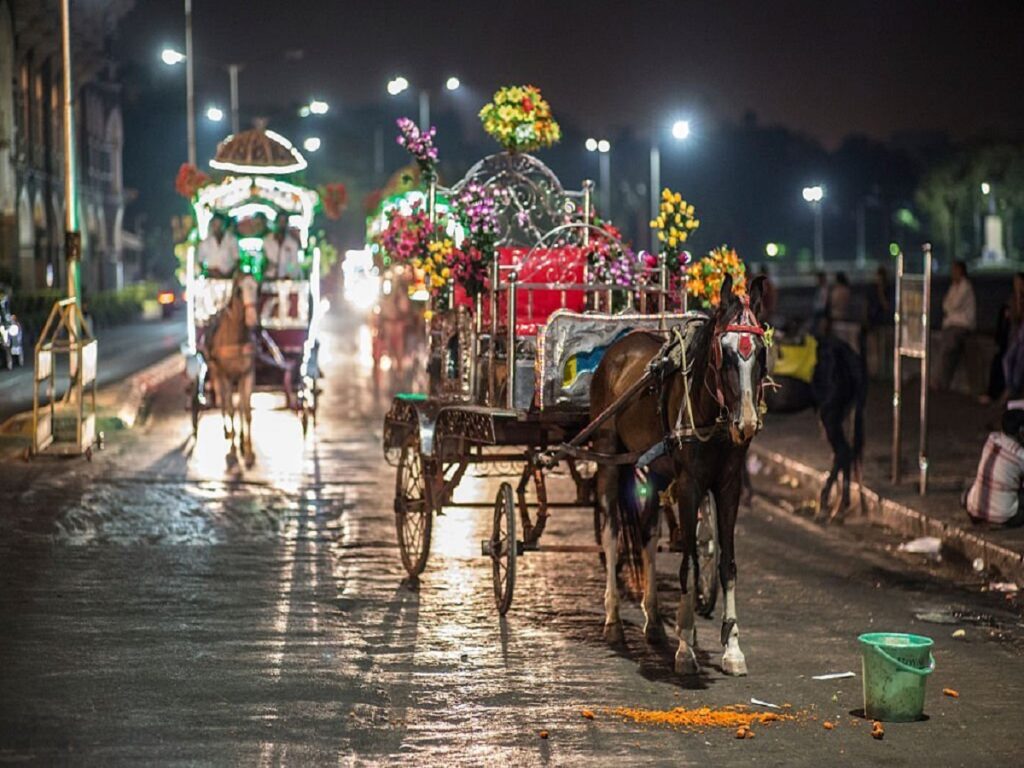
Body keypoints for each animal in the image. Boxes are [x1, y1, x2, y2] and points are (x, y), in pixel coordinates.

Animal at [204, 276, 258, 468]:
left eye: (257, 288)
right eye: (239, 291)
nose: (253, 319)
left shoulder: (247, 374)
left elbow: (246, 411)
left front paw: (248, 452)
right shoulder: (225, 377)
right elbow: (230, 410)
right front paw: (233, 453)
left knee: (239, 405)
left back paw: (240, 439)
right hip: (216, 375)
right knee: (223, 403)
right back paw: (228, 432)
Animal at [589, 274, 765, 675]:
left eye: (761, 353)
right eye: (724, 352)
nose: (746, 423)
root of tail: (620, 345)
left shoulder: (727, 486)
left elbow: (726, 564)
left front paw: (732, 647)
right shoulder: (688, 485)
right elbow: (688, 562)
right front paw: (685, 647)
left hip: (653, 470)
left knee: (648, 537)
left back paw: (653, 622)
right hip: (609, 458)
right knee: (611, 534)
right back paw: (613, 620)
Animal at [765, 331, 868, 518]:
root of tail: (850, 355)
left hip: (830, 413)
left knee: (843, 452)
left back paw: (831, 504)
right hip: (838, 413)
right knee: (843, 453)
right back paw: (839, 506)